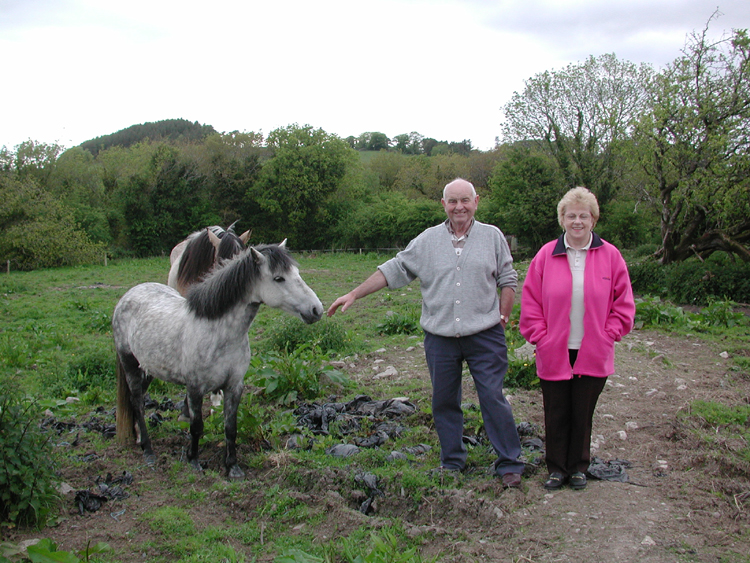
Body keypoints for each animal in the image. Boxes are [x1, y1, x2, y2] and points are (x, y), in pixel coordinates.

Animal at [114, 241, 324, 480]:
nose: (317, 310)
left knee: (136, 400)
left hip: (148, 368)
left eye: (297, 273)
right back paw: (148, 451)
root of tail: (129, 295)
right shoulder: (194, 387)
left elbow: (230, 427)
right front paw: (193, 461)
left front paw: (232, 467)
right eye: (279, 278)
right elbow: (196, 426)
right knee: (138, 402)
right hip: (129, 363)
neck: (218, 331)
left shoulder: (234, 386)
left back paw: (139, 437)